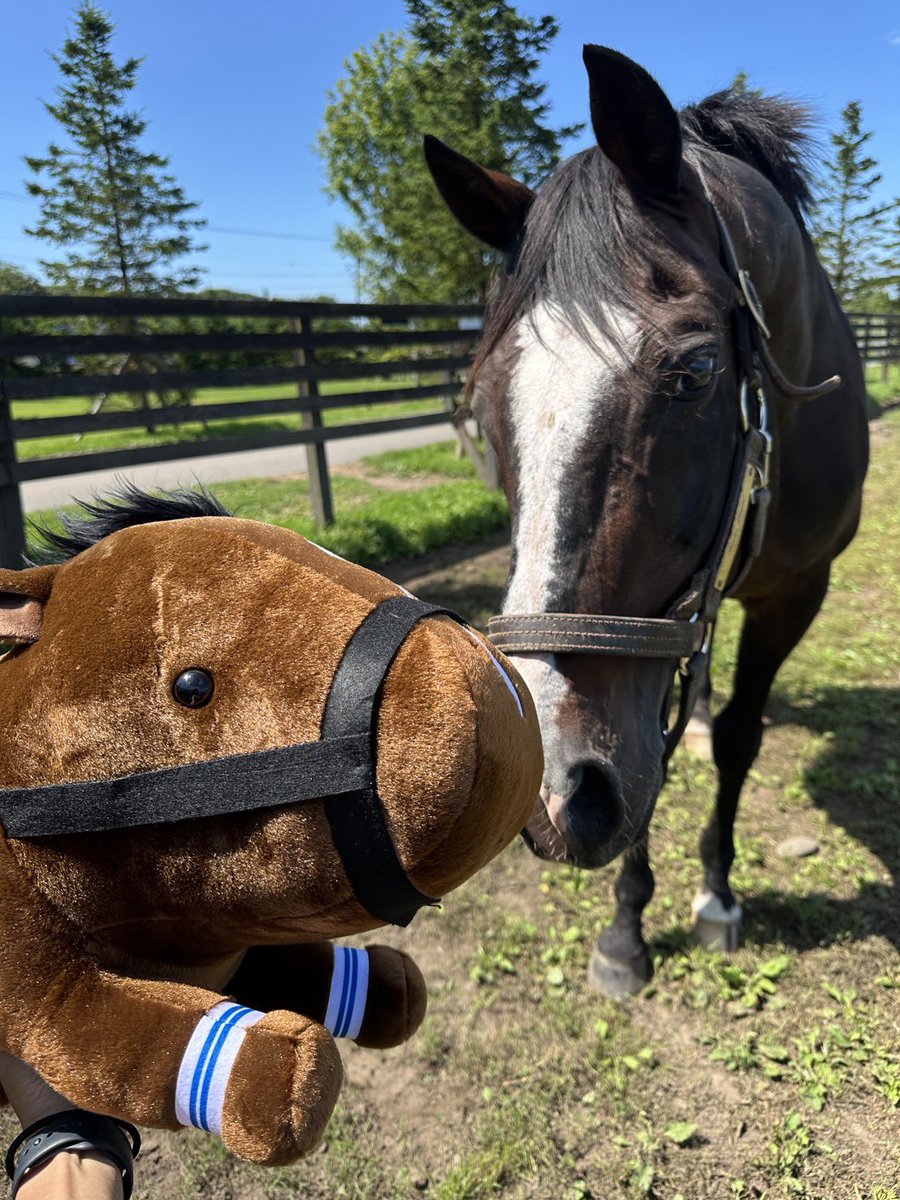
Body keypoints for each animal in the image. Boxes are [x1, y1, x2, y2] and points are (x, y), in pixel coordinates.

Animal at [425, 46, 869, 995]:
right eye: (483, 400)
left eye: (696, 370)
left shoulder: (796, 594)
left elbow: (741, 737)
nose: (553, 788)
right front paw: (628, 929)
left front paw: (717, 898)